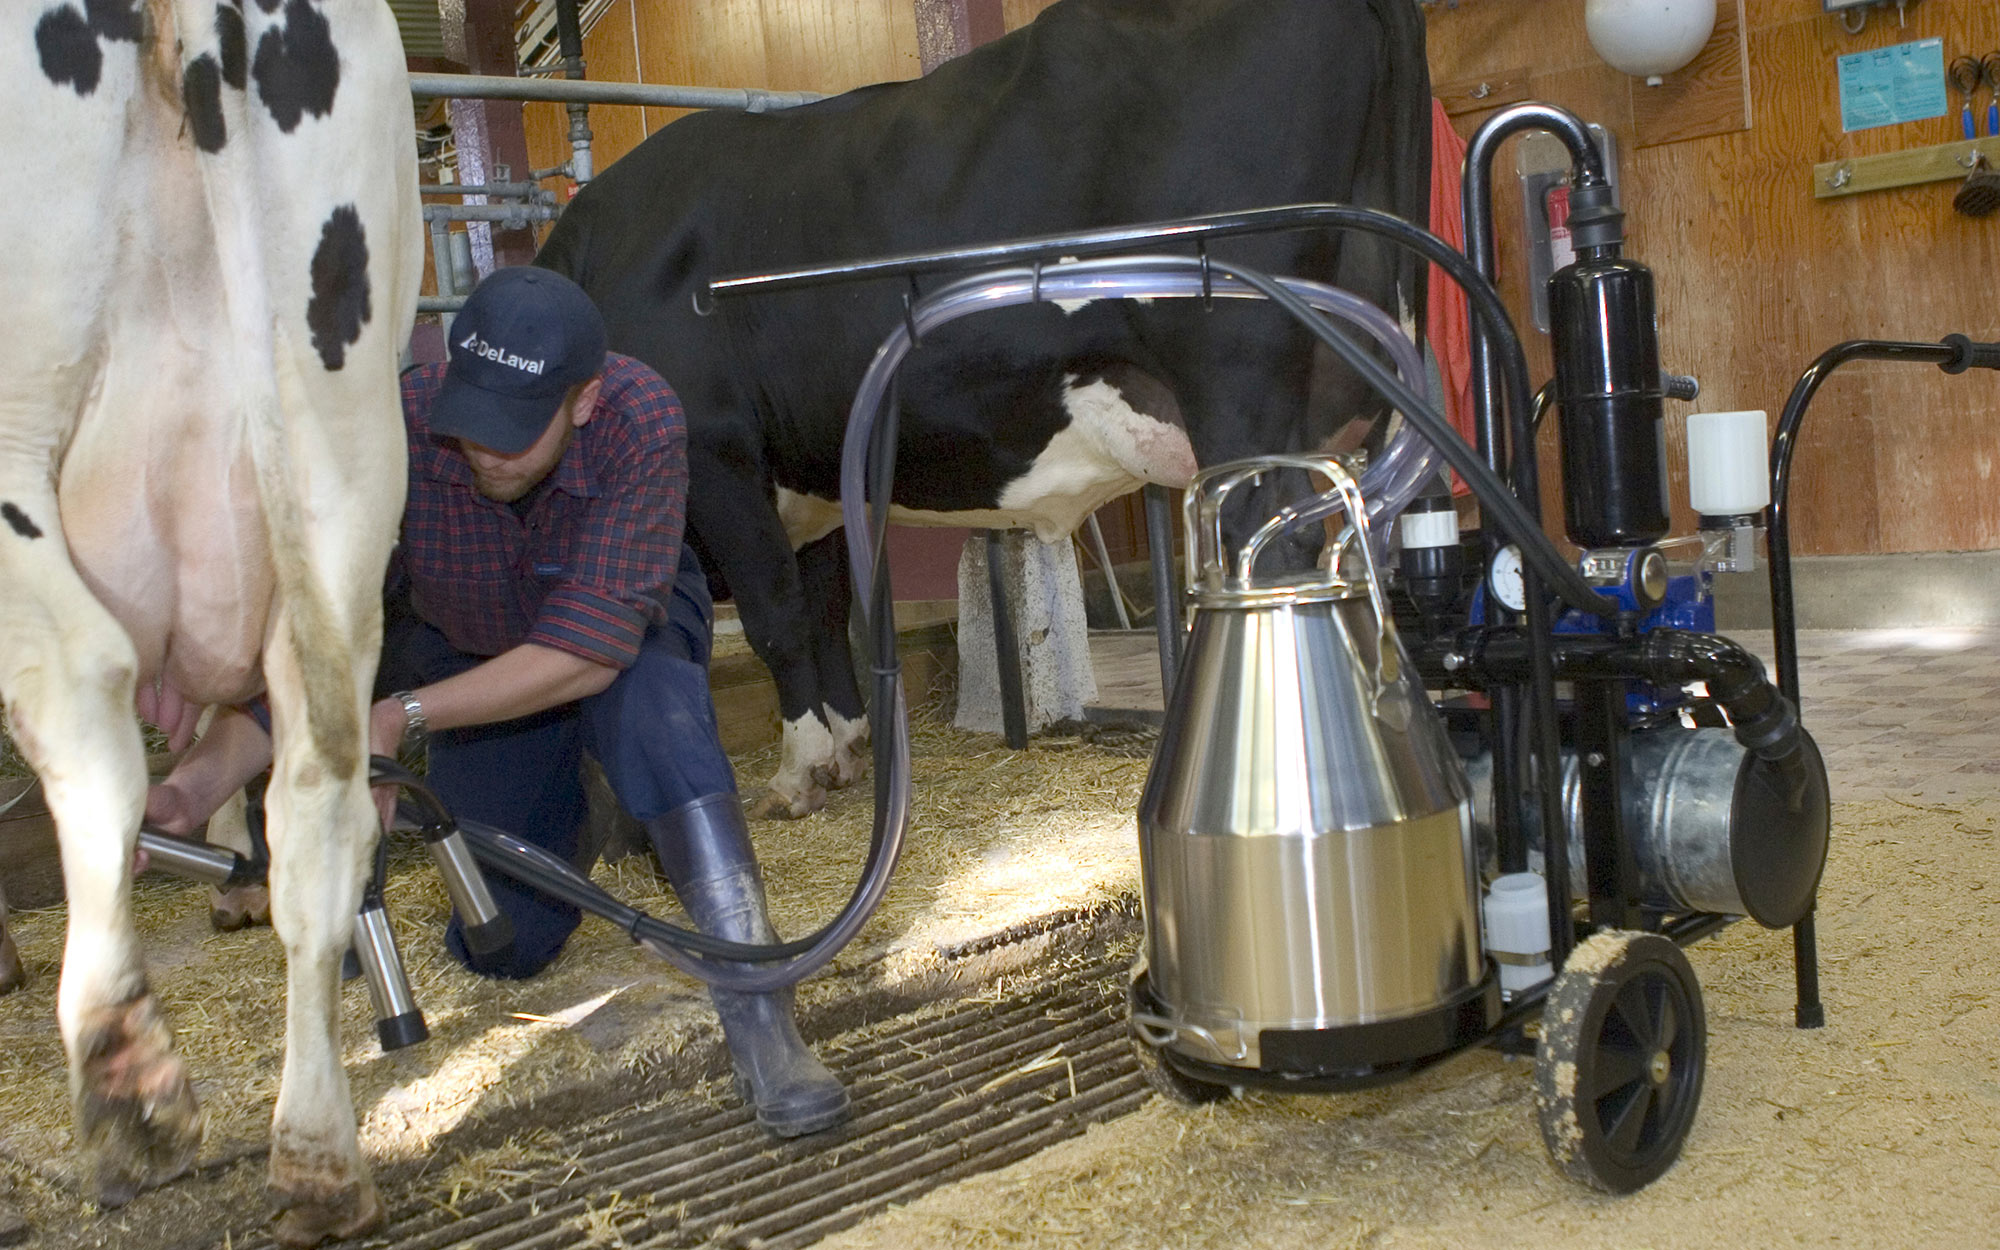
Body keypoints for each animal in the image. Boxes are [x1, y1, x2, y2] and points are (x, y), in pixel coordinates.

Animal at [540, 0, 1432, 820]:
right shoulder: (813, 474)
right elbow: (828, 614)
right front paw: (850, 748)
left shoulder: (713, 453)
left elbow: (777, 617)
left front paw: (800, 772)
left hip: (1236, 381)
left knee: (1269, 544)